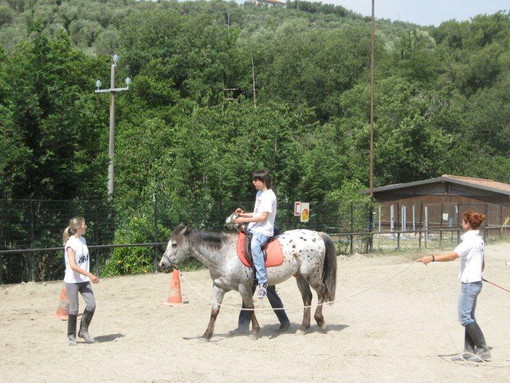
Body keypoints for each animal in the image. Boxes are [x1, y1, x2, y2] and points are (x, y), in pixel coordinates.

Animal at [157, 222, 336, 342]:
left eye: (174, 245)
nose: (162, 264)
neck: (224, 255)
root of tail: (317, 234)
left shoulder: (244, 286)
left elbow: (249, 307)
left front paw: (255, 332)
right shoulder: (218, 287)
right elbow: (214, 311)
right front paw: (206, 335)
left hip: (311, 275)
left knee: (322, 291)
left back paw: (320, 322)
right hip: (300, 277)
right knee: (307, 298)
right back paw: (303, 327)